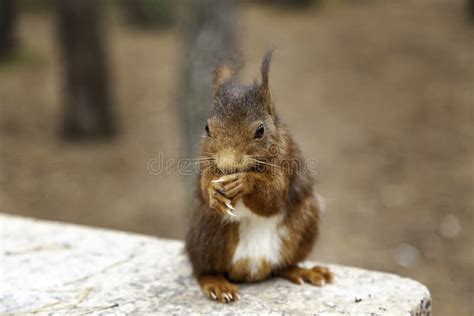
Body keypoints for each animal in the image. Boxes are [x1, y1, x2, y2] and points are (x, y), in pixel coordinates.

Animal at [185, 51, 334, 304]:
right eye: (206, 128)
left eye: (260, 131)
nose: (228, 165)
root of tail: (253, 269)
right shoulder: (205, 164)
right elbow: (205, 184)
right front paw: (213, 192)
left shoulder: (286, 165)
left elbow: (272, 199)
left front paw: (245, 182)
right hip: (206, 229)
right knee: (203, 270)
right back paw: (217, 284)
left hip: (306, 221)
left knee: (282, 267)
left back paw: (304, 271)